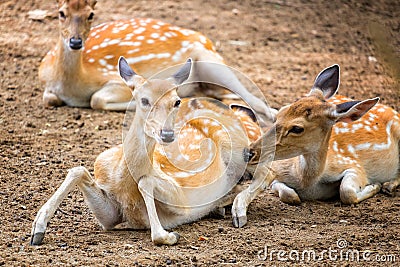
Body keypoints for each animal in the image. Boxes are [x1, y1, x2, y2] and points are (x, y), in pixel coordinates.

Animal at [32, 58, 266, 247]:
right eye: (144, 100)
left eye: (176, 101)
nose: (168, 134)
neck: (124, 184)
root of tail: (241, 112)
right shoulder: (109, 216)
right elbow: (78, 170)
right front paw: (37, 230)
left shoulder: (182, 199)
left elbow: (146, 183)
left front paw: (169, 235)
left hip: (244, 147)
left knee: (266, 172)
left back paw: (235, 209)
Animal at [42, 0, 276, 121]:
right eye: (60, 13)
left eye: (91, 14)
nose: (75, 42)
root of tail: (207, 40)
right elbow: (49, 99)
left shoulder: (116, 80)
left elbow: (96, 99)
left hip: (211, 61)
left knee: (252, 97)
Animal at [231, 64, 400, 228]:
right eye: (279, 113)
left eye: (297, 128)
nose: (249, 152)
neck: (307, 182)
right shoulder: (277, 171)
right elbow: (290, 195)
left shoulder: (354, 165)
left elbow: (346, 192)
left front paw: (374, 185)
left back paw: (388, 185)